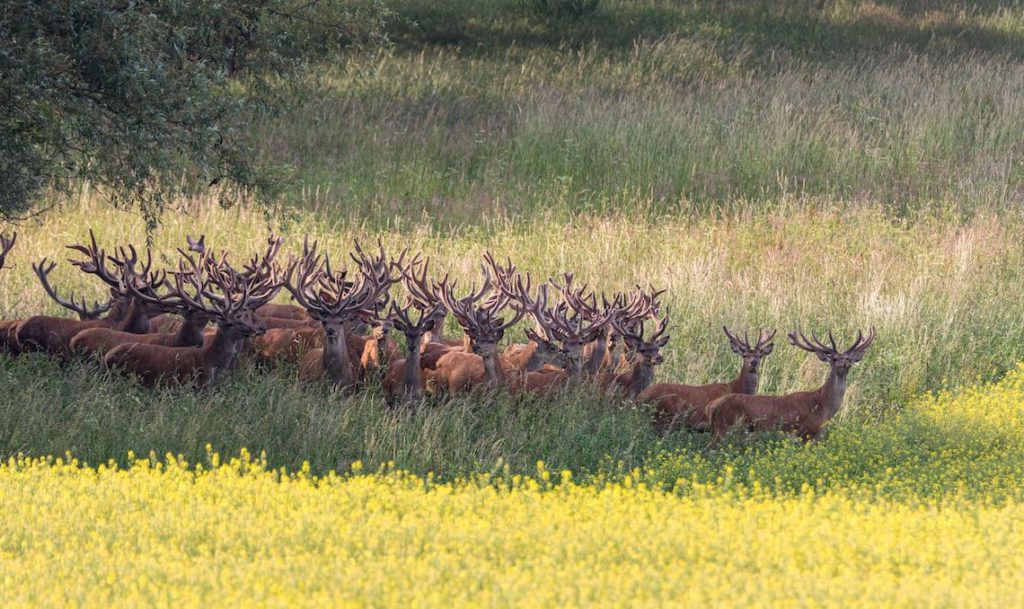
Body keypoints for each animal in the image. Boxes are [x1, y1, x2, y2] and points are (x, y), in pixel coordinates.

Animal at [638, 329, 774, 433]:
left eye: (760, 355)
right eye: (744, 355)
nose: (753, 363)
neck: (737, 387)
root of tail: (640, 397)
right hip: (664, 415)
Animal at [708, 325, 876, 440]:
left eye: (848, 358)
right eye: (834, 358)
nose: (845, 364)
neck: (823, 407)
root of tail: (713, 407)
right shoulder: (809, 432)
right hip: (725, 428)